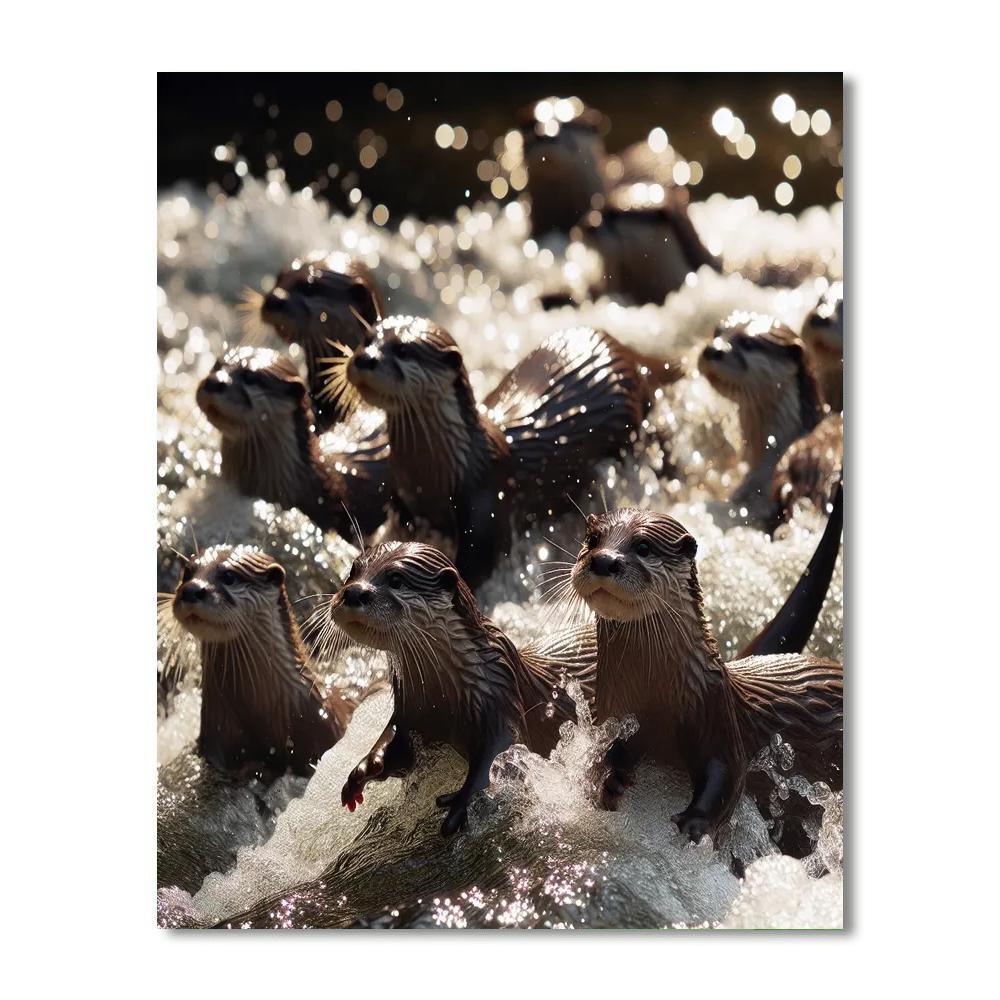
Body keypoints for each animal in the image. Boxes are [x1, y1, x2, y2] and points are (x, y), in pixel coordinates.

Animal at [326, 541, 596, 835]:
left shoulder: (498, 693)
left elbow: (501, 753)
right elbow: (396, 743)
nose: (353, 592)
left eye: (396, 580)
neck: (443, 697)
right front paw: (363, 770)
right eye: (353, 570)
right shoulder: (412, 712)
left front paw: (461, 801)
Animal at [341, 317, 681, 587]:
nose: (365, 359)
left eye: (403, 350)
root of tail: (623, 350)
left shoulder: (485, 499)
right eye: (367, 339)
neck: (430, 474)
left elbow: (476, 563)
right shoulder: (405, 497)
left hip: (636, 420)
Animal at [570, 507, 842, 843]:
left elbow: (727, 773)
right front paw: (611, 780)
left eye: (643, 547)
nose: (603, 560)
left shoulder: (716, 709)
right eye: (593, 539)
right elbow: (605, 753)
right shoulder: (612, 710)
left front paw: (692, 823)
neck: (656, 696)